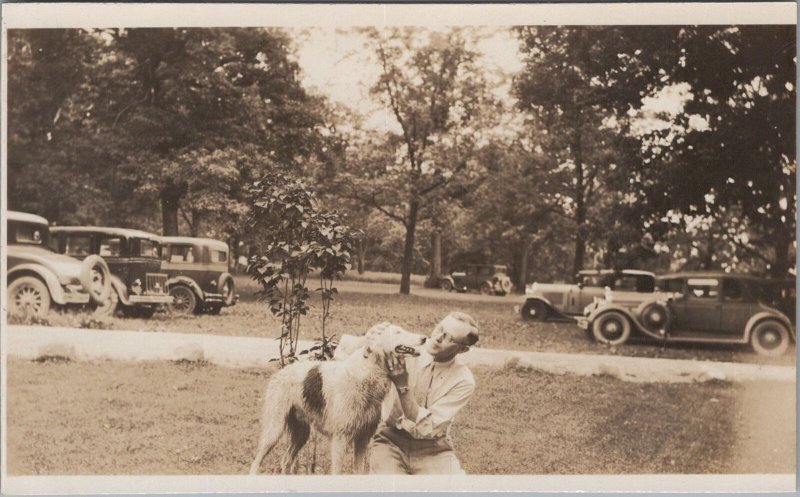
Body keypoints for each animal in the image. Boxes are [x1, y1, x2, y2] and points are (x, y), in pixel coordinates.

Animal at [250, 322, 428, 472]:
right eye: (398, 332)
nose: (424, 338)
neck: (367, 373)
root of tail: (280, 372)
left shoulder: (363, 439)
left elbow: (358, 471)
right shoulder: (340, 439)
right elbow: (337, 471)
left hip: (301, 432)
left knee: (286, 461)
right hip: (274, 429)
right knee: (256, 462)